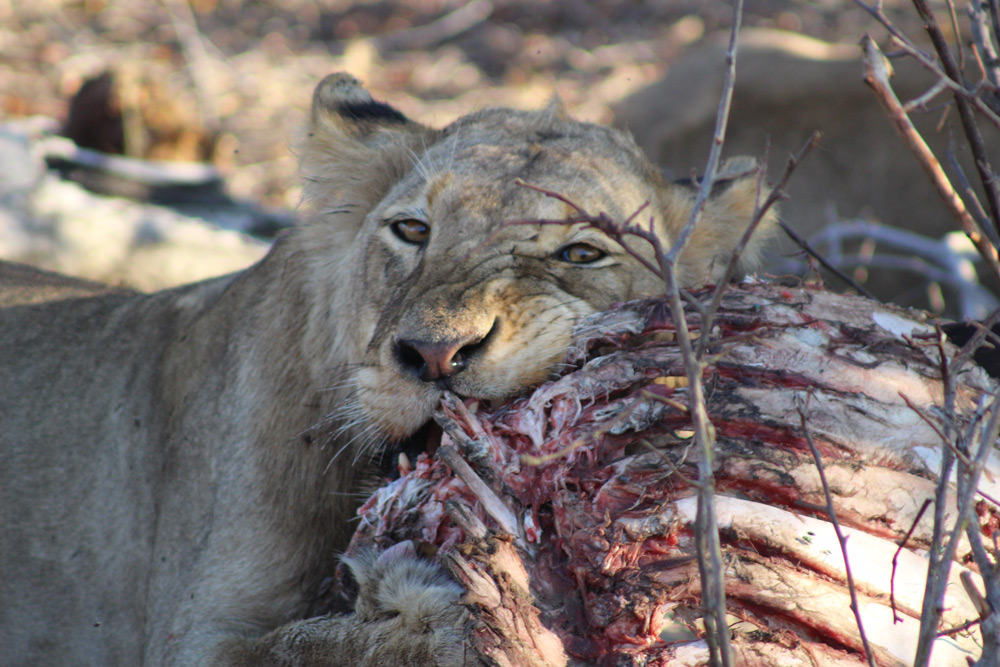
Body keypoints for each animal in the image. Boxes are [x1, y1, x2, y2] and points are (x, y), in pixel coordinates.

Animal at [0, 74, 772, 667]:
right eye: (412, 230)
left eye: (582, 253)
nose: (435, 353)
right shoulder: (196, 635)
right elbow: (317, 647)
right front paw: (449, 620)